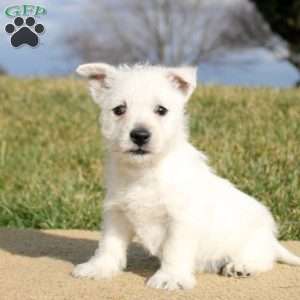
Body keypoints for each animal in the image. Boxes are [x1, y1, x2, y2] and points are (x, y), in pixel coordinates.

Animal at [72, 63, 300, 290]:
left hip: (251, 242)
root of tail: (271, 240)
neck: (146, 170)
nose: (140, 135)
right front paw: (98, 268)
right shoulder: (116, 213)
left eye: (161, 110)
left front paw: (170, 277)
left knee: (263, 259)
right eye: (119, 109)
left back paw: (241, 266)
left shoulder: (181, 219)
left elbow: (174, 250)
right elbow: (109, 244)